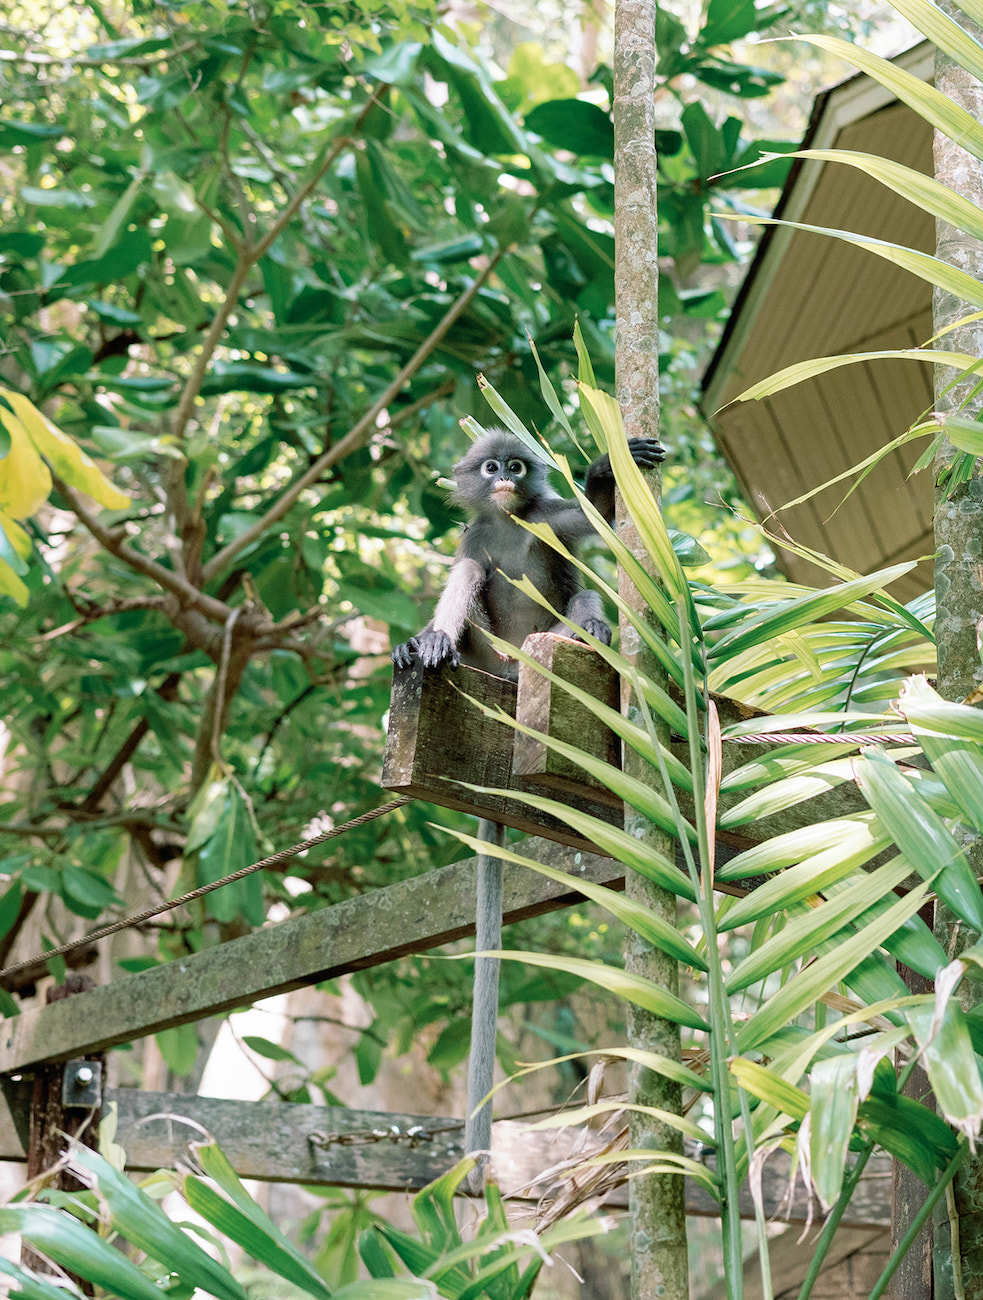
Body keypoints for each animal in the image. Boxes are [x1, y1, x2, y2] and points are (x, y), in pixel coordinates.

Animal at [391, 429, 665, 680]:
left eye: (515, 467)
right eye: (491, 467)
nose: (504, 476)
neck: (507, 519)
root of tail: (508, 669)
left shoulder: (546, 516)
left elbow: (593, 514)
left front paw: (608, 465)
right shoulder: (474, 537)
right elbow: (468, 565)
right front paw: (415, 642)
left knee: (584, 597)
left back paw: (592, 630)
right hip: (487, 651)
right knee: (469, 570)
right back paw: (439, 640)